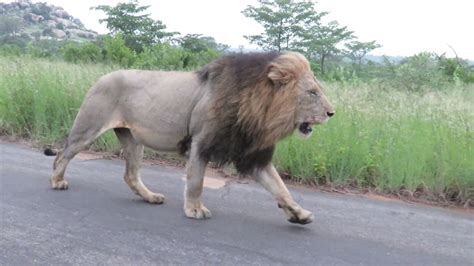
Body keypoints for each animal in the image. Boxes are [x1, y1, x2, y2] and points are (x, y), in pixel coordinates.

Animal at [43, 52, 334, 224]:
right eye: (312, 92)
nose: (332, 113)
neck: (259, 110)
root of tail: (100, 77)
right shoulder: (200, 142)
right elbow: (196, 182)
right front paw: (195, 210)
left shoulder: (253, 156)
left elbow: (281, 188)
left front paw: (299, 214)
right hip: (88, 128)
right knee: (62, 154)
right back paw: (57, 181)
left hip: (133, 139)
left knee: (130, 175)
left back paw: (151, 197)